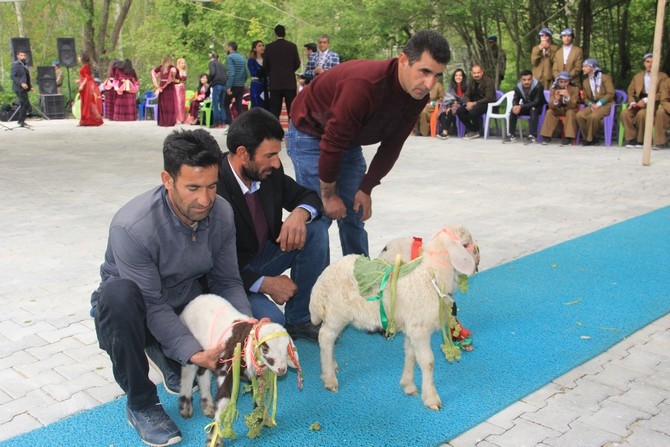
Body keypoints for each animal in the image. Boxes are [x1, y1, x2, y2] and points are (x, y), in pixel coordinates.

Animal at [178, 296, 300, 446]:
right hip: (193, 344)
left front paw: (261, 419)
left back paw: (208, 405)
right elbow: (224, 401)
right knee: (188, 372)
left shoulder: (255, 376)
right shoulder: (226, 370)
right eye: (265, 349)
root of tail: (194, 300)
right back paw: (186, 407)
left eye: (286, 347)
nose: (282, 369)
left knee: (203, 373)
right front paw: (215, 438)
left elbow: (258, 397)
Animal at [310, 226, 478, 412]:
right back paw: (329, 378)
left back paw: (332, 366)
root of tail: (322, 278)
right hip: (338, 312)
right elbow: (427, 362)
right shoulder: (419, 329)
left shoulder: (412, 328)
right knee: (325, 336)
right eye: (465, 244)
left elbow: (411, 355)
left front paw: (408, 385)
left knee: (330, 339)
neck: (430, 275)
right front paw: (431, 398)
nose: (478, 256)